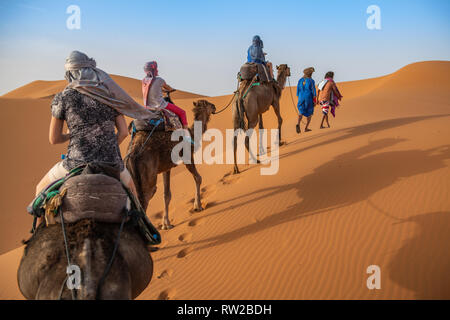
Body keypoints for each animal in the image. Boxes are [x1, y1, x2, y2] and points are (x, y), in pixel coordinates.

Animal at [125, 100, 217, 230]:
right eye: (207, 104)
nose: (214, 106)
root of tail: (132, 156)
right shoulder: (187, 157)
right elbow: (198, 178)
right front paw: (197, 206)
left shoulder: (166, 167)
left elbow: (166, 195)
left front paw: (166, 224)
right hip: (148, 178)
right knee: (145, 199)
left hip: (131, 178)